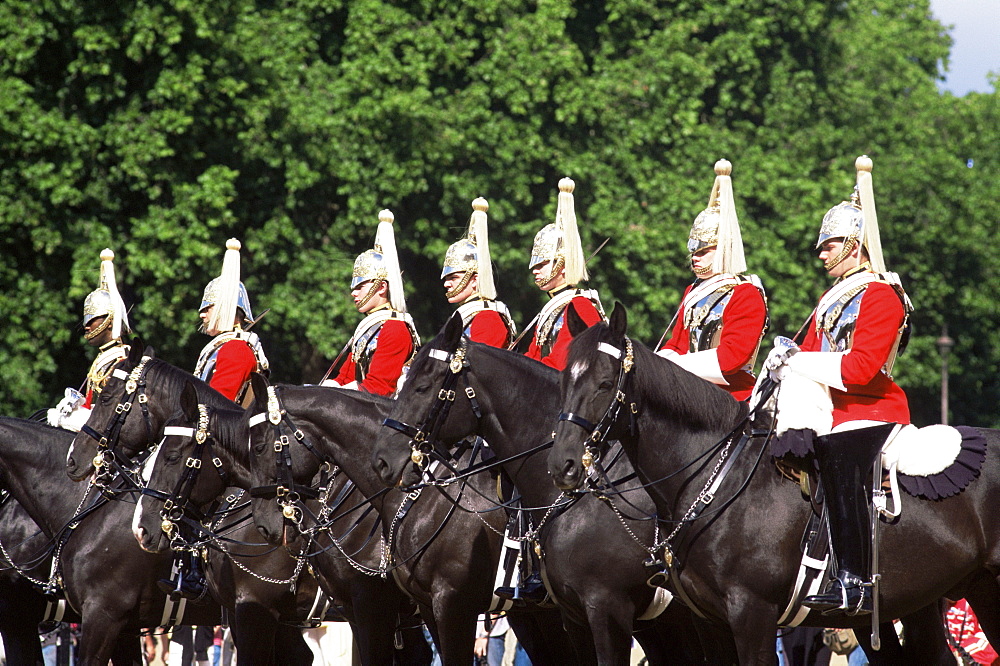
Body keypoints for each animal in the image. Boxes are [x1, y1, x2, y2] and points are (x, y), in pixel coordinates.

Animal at [552, 304, 996, 660]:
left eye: (605, 383)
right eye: (564, 381)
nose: (564, 465)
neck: (716, 478)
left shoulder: (750, 614)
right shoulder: (709, 621)